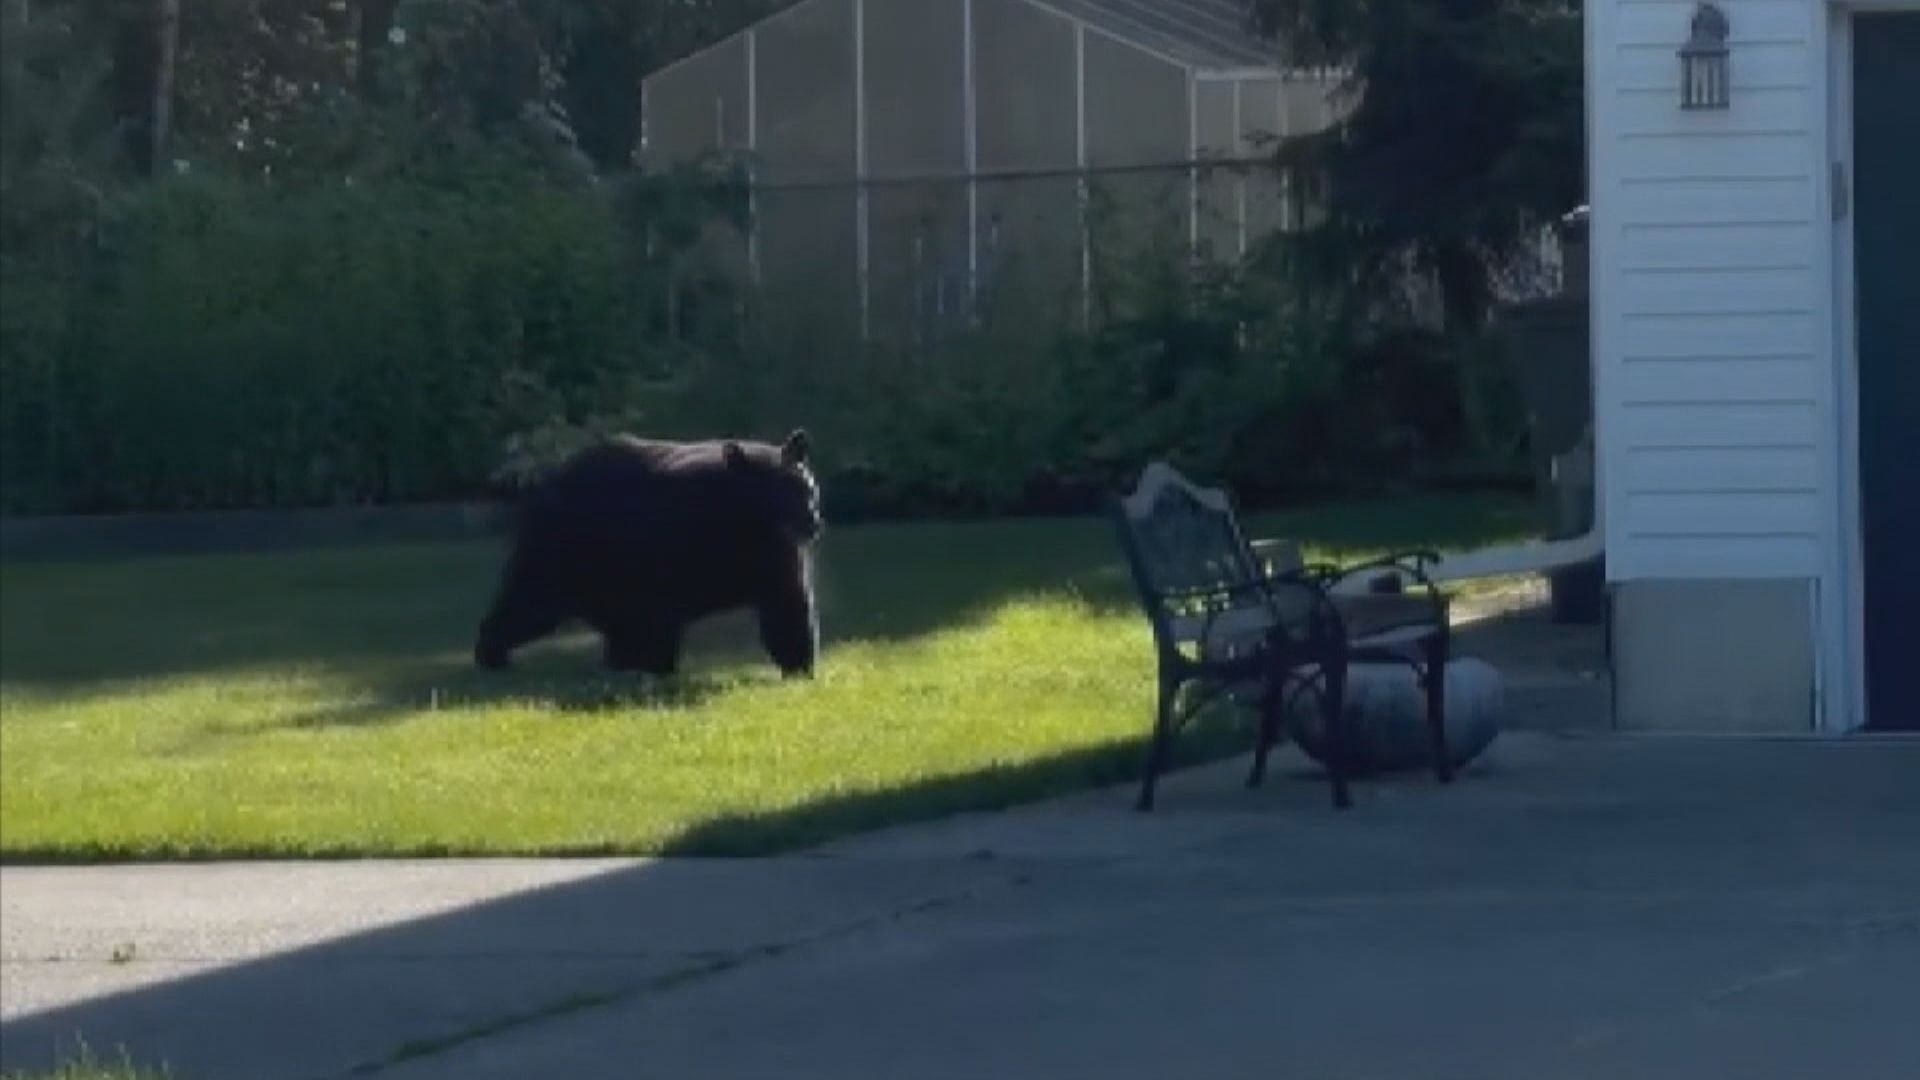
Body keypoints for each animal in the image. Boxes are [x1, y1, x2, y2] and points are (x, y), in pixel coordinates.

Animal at [474, 426, 825, 672]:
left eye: (805, 488)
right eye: (777, 494)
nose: (813, 523)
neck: (741, 526)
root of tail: (542, 484)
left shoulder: (773, 555)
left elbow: (787, 604)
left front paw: (799, 665)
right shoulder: (667, 548)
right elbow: (656, 614)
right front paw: (657, 664)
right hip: (561, 552)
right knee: (529, 601)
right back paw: (492, 653)